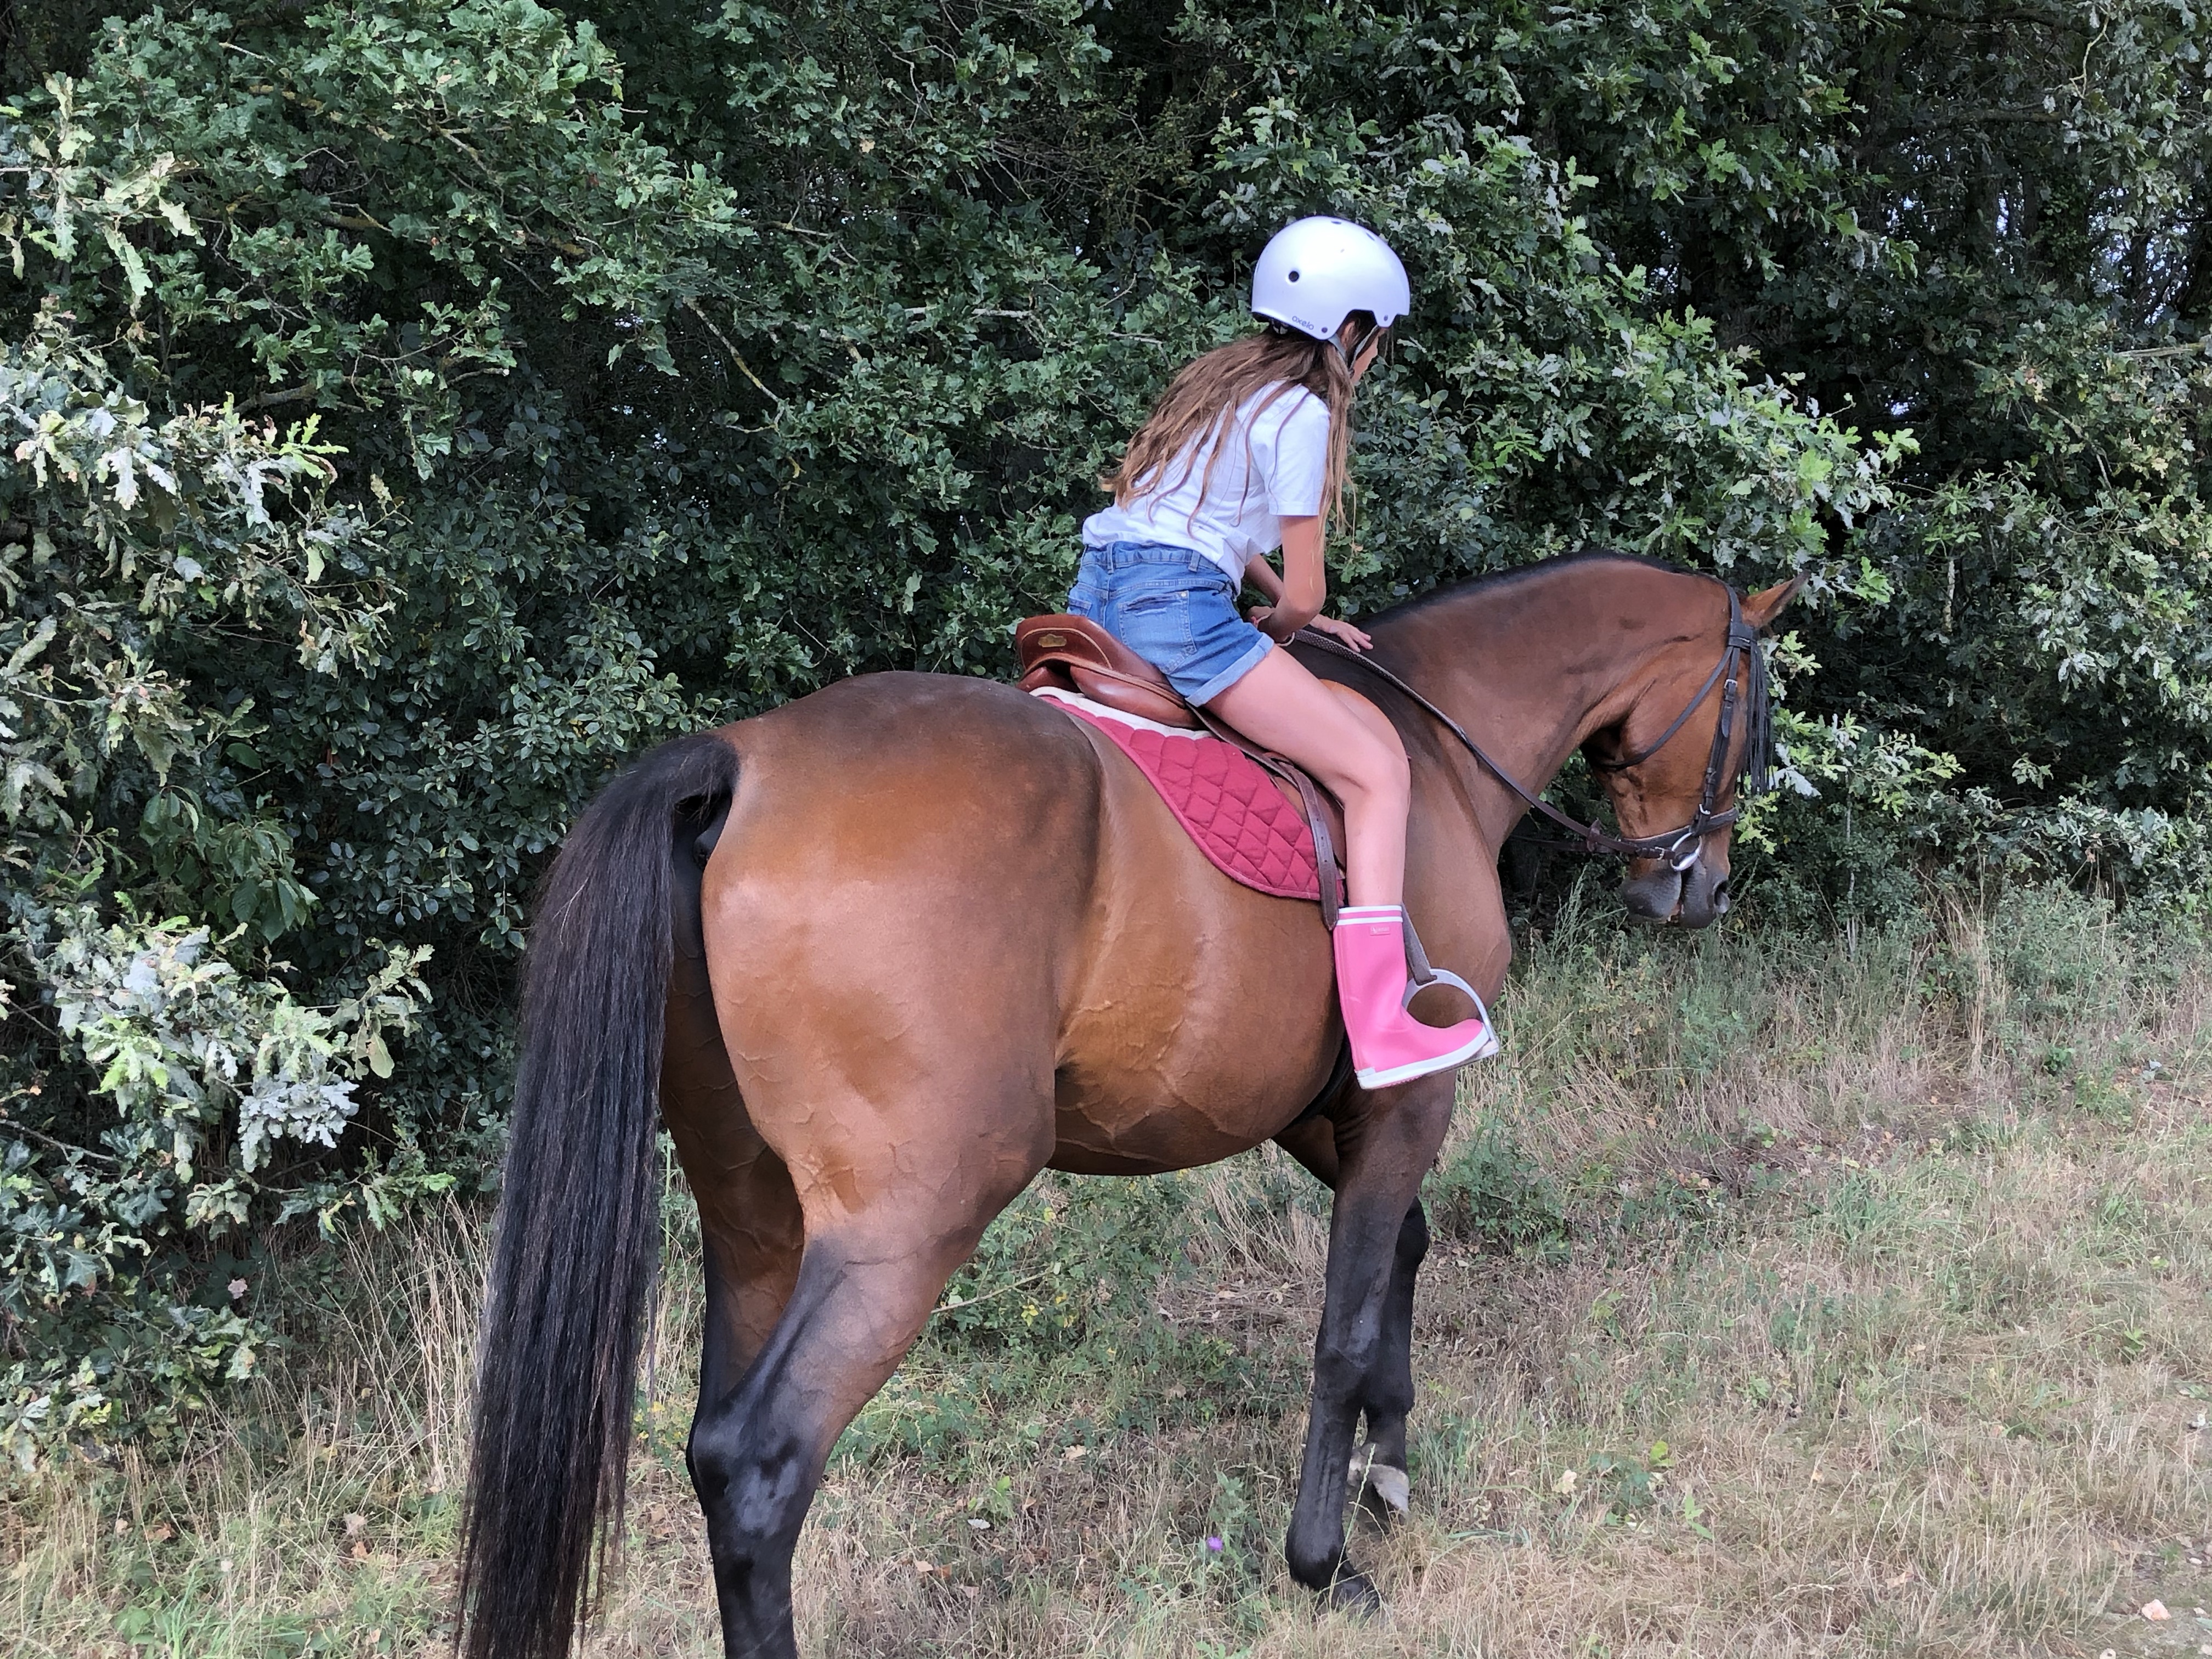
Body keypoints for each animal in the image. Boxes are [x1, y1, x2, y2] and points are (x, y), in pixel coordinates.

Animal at [457, 552, 1802, 1659]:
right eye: (1756, 711)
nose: (1701, 888)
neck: (1429, 749)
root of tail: (739, 764)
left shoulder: (1330, 1109)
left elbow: (1398, 1262)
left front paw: (1391, 1473)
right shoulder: (1411, 1100)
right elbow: (1345, 1321)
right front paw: (1323, 1563)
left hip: (753, 1221)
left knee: (710, 1445)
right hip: (905, 1225)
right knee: (757, 1467)